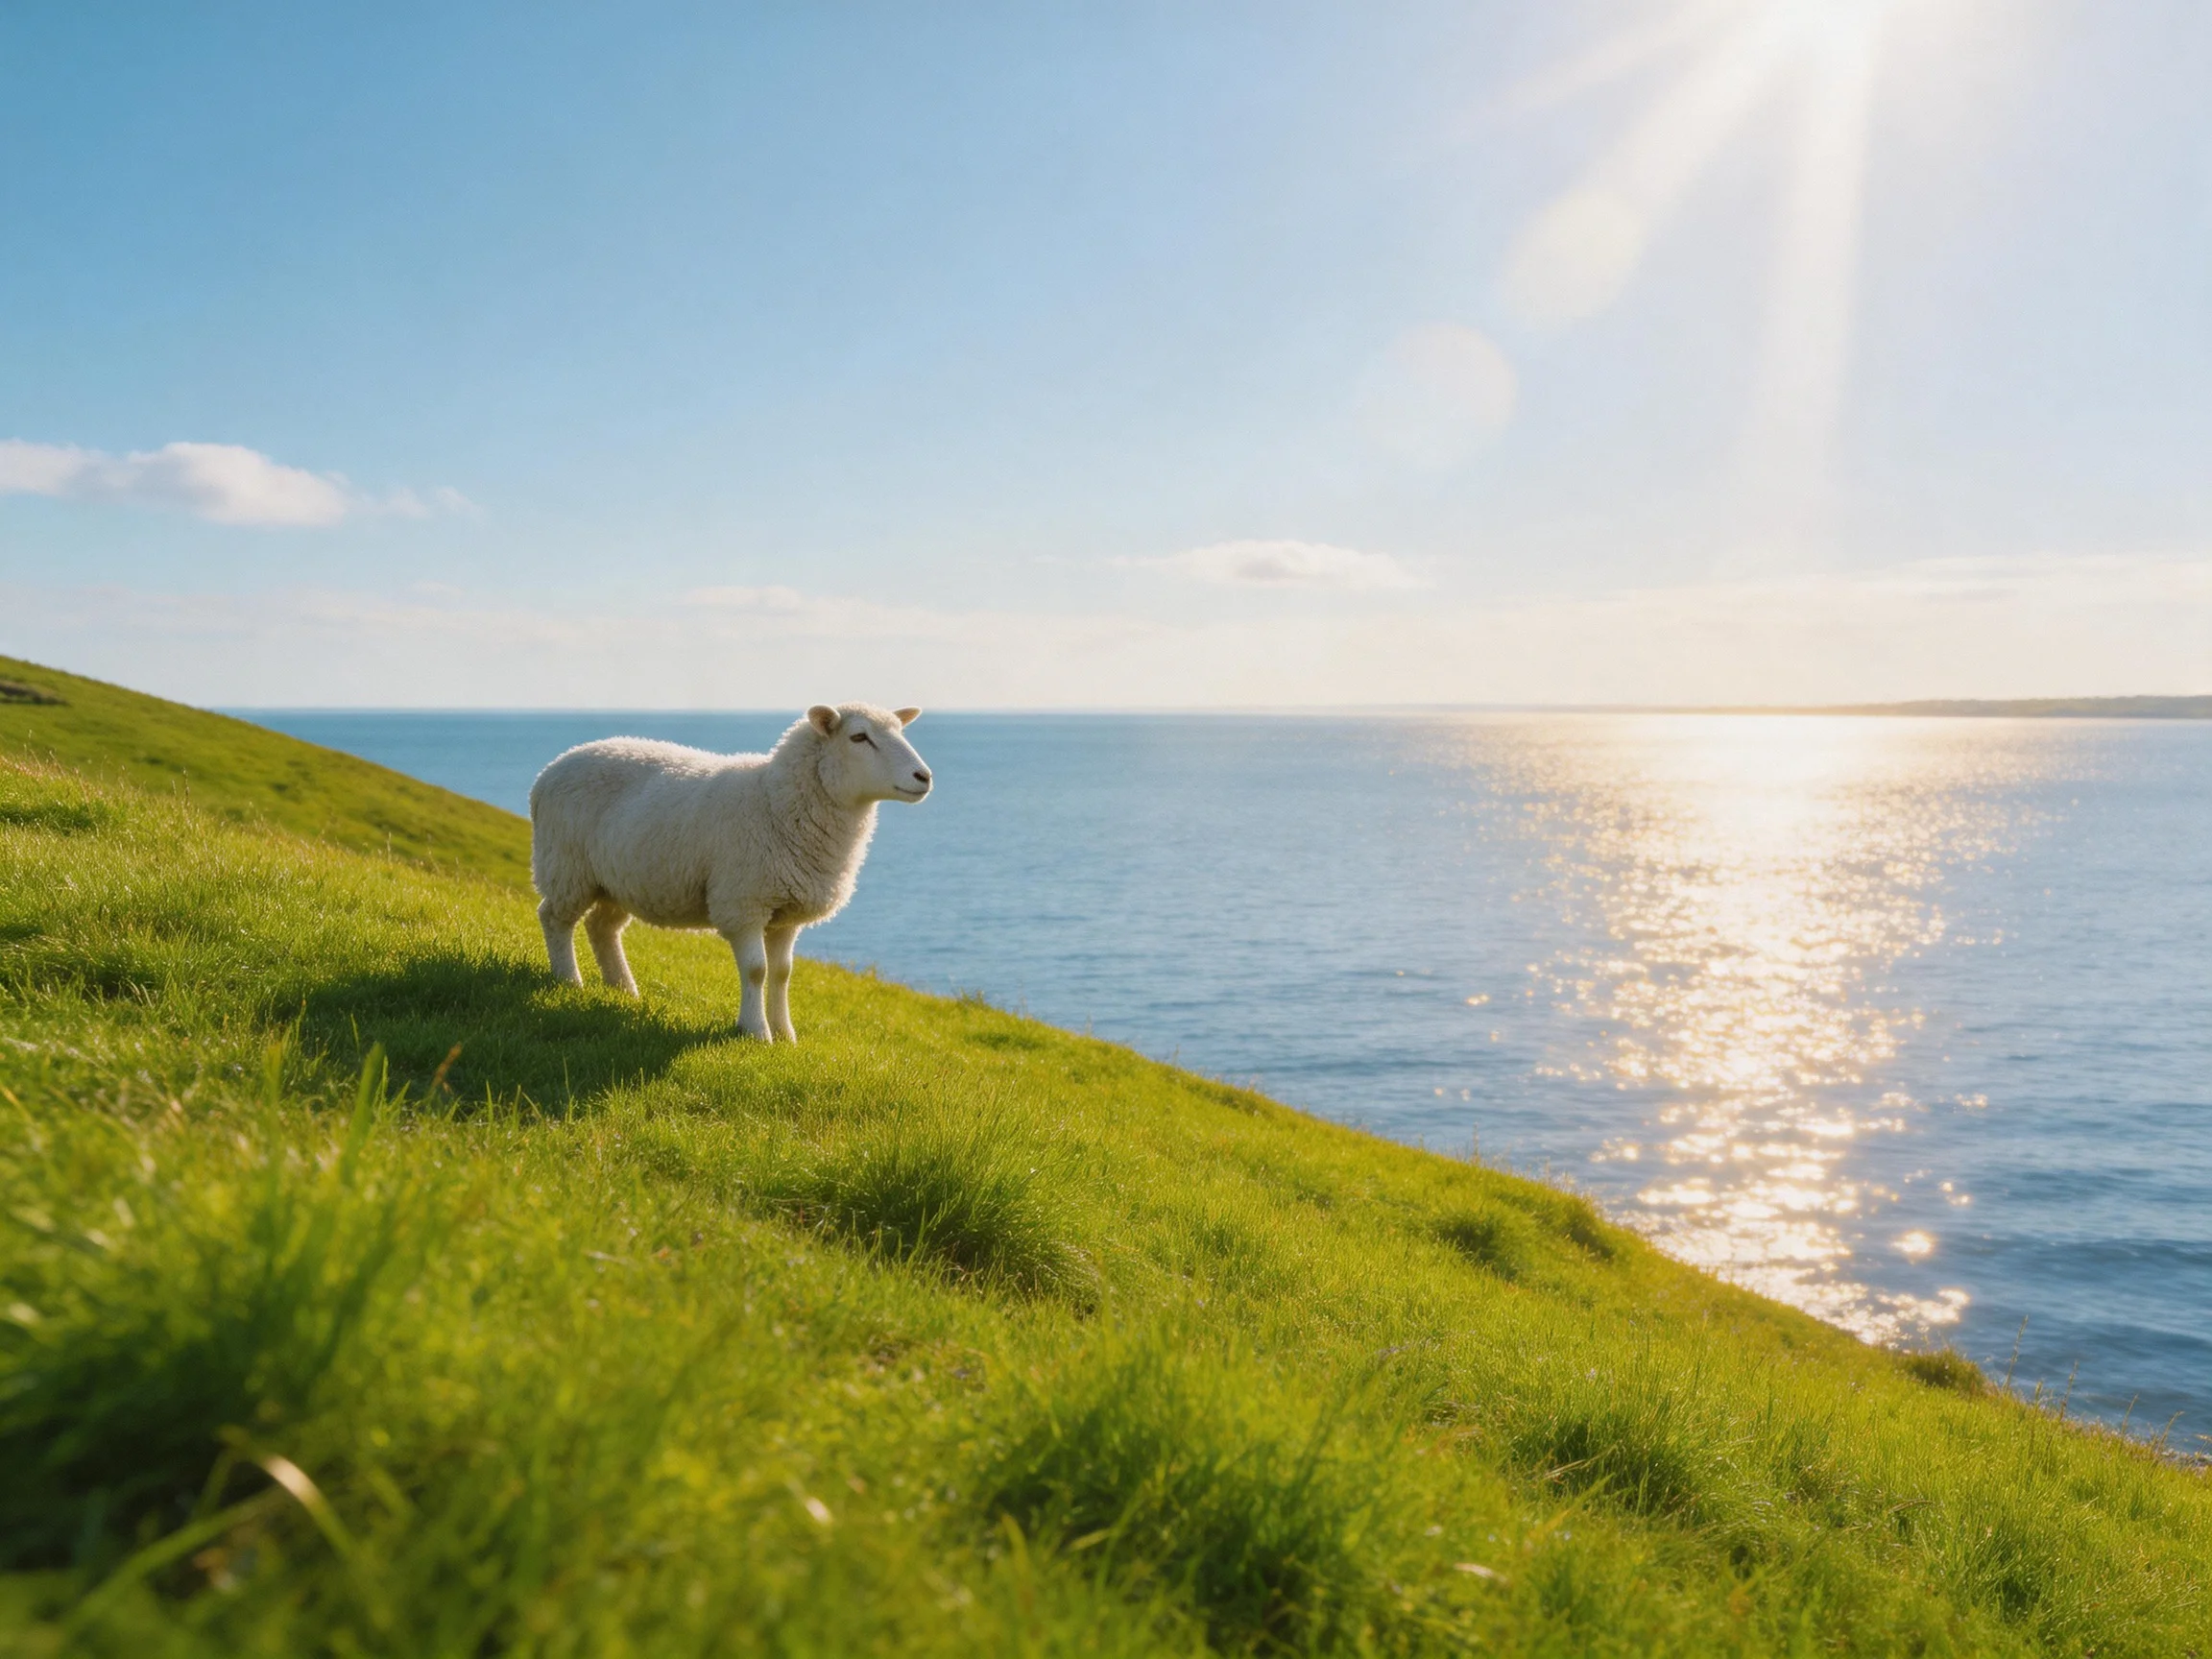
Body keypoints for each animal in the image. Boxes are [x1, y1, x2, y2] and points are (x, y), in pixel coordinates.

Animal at [528, 703, 931, 1041]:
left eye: (900, 731)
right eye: (859, 737)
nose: (924, 776)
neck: (776, 801)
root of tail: (551, 769)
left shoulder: (787, 913)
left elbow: (782, 973)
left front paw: (786, 1035)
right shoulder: (743, 904)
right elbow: (756, 970)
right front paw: (756, 1032)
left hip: (618, 879)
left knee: (602, 928)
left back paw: (623, 990)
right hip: (566, 865)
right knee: (554, 918)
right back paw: (569, 980)